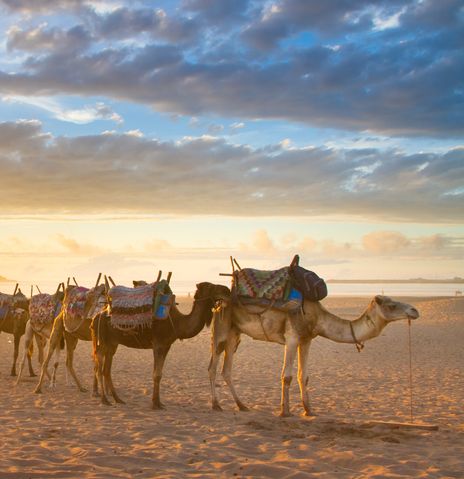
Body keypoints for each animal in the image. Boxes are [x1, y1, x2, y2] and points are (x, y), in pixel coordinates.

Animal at [91, 282, 229, 408]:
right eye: (210, 287)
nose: (226, 290)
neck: (178, 324)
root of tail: (96, 317)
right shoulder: (158, 344)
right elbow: (156, 374)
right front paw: (156, 403)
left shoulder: (166, 345)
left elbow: (159, 373)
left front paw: (158, 402)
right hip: (101, 341)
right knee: (98, 366)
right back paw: (104, 399)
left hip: (112, 344)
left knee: (106, 370)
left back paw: (118, 399)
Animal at [208, 292, 418, 416]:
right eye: (391, 305)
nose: (414, 310)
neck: (318, 318)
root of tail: (218, 302)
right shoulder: (292, 337)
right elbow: (287, 375)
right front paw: (285, 412)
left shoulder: (306, 339)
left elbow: (304, 376)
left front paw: (309, 410)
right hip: (222, 327)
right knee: (212, 366)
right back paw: (216, 405)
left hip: (235, 332)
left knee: (226, 369)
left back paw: (242, 405)